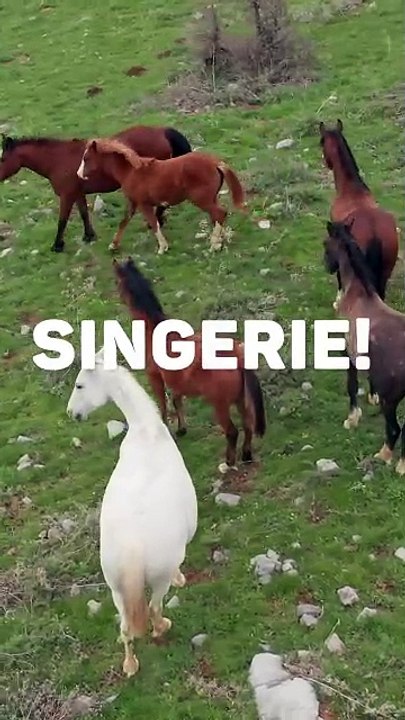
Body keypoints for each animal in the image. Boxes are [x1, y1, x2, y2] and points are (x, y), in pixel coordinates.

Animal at [0, 125, 192, 252]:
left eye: (2, 159)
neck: (57, 160)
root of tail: (163, 131)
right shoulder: (77, 194)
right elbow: (84, 214)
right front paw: (88, 236)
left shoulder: (66, 196)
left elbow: (62, 220)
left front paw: (57, 245)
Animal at [66, 347, 198, 677]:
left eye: (79, 385)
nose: (72, 414)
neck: (146, 432)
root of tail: (133, 549)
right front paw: (181, 578)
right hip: (157, 580)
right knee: (153, 607)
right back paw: (162, 627)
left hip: (115, 588)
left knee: (126, 628)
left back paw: (130, 665)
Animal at [77, 137, 245, 254]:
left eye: (86, 158)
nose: (78, 174)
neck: (131, 172)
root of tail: (216, 162)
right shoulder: (133, 202)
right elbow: (124, 221)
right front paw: (113, 245)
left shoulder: (143, 204)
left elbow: (153, 223)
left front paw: (162, 248)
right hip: (211, 198)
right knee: (217, 216)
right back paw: (219, 241)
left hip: (201, 199)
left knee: (219, 213)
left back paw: (214, 245)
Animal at [113, 258, 266, 474]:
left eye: (118, 282)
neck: (155, 331)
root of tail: (237, 356)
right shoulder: (175, 381)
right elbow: (177, 401)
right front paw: (182, 429)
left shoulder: (155, 377)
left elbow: (162, 404)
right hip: (240, 400)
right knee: (248, 425)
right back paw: (246, 455)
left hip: (220, 405)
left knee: (232, 432)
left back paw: (229, 462)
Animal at [324, 221, 405, 476]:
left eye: (325, 243)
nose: (327, 266)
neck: (359, 296)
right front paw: (372, 396)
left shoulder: (347, 353)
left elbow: (351, 385)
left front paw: (352, 419)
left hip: (393, 400)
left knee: (395, 428)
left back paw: (386, 457)